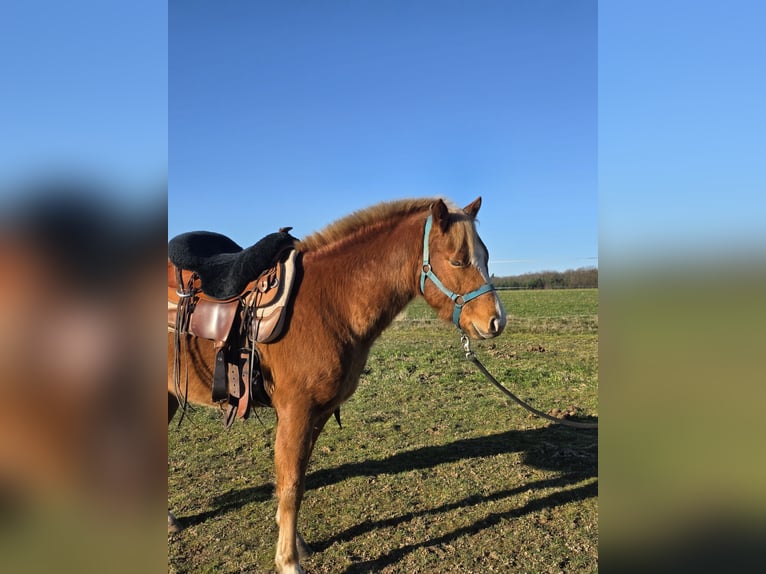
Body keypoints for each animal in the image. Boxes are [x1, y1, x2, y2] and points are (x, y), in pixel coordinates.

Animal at [168, 197, 507, 573]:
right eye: (458, 260)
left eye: (486, 257)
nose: (495, 321)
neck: (328, 303)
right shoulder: (296, 412)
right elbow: (291, 484)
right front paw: (288, 560)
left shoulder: (318, 413)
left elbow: (295, 479)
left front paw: (295, 543)